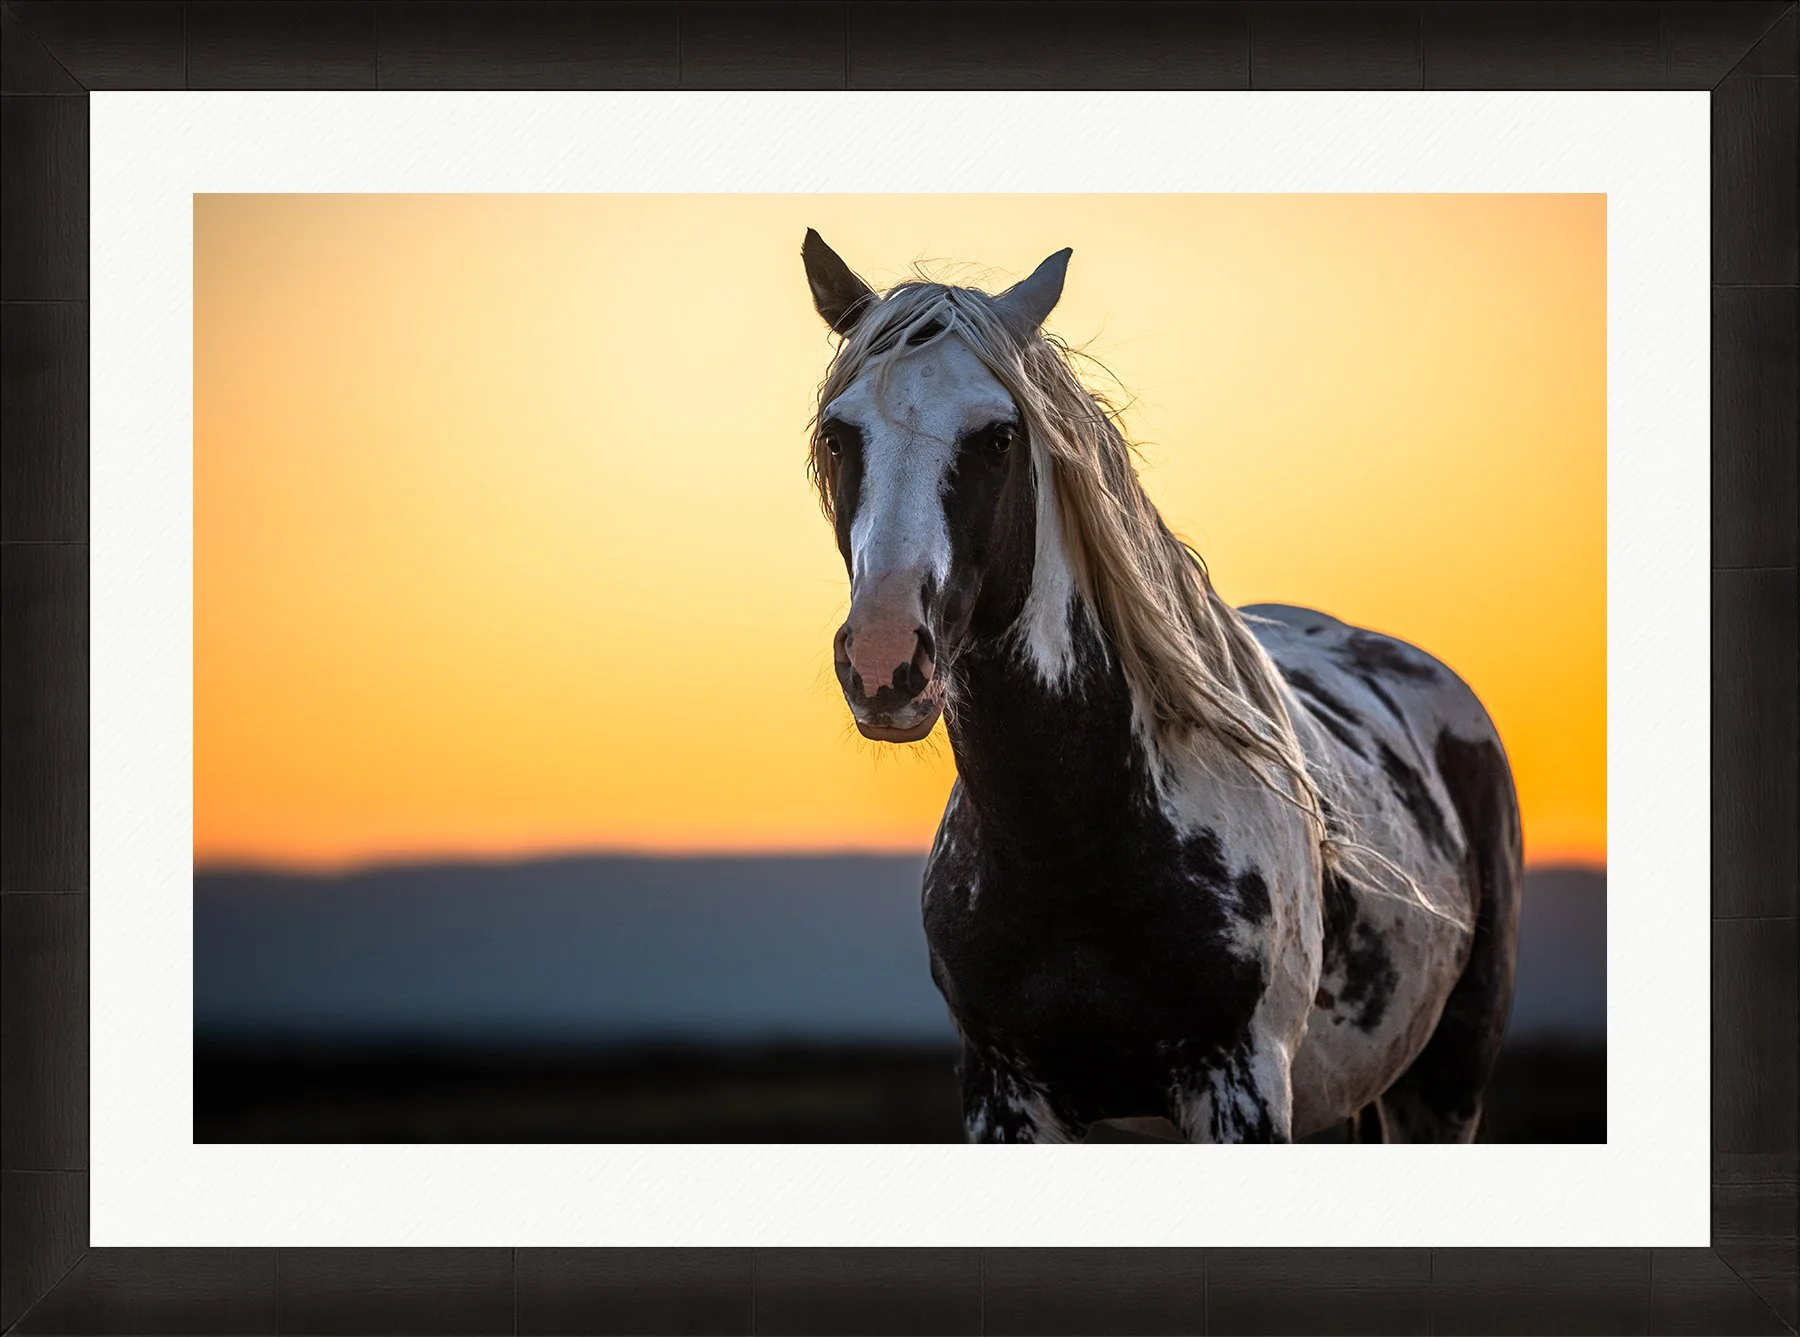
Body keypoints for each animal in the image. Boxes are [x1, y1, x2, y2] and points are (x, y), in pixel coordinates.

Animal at [799, 230, 1523, 1143]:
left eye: (1000, 437)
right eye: (837, 435)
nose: (887, 658)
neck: (1070, 841)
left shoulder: (1241, 1087)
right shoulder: (1004, 1096)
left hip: (1446, 1079)